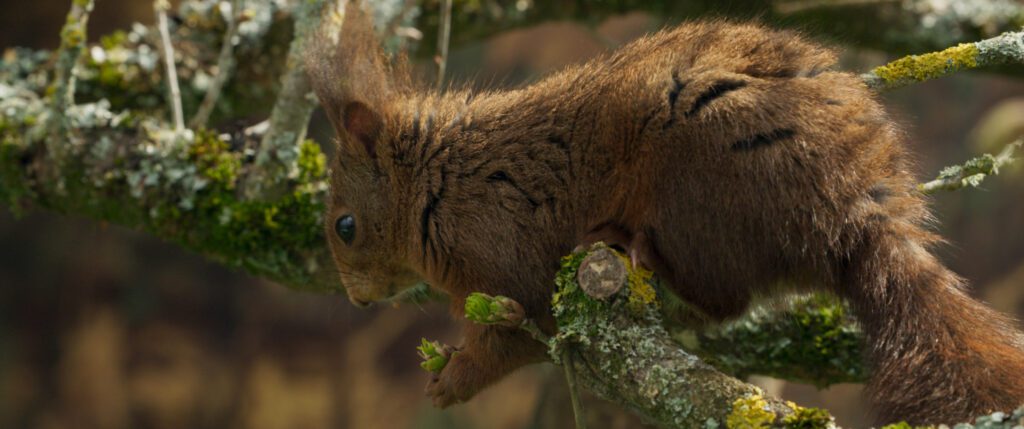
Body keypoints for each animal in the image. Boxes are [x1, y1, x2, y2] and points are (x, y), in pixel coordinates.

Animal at [307, 1, 1024, 425]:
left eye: (345, 226)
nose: (358, 299)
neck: (439, 183)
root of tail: (859, 209)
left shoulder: (503, 256)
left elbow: (516, 334)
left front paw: (452, 381)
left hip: (698, 190)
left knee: (722, 298)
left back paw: (636, 248)